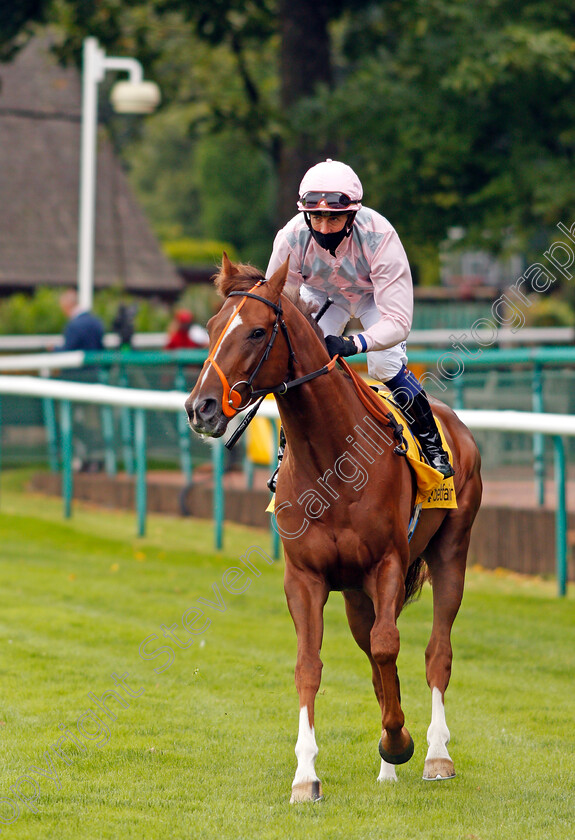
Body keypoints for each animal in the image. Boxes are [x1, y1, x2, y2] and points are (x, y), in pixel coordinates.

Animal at [187, 254, 484, 800]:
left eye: (257, 331)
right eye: (214, 328)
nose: (201, 408)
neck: (332, 460)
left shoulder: (388, 562)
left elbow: (391, 645)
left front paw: (399, 743)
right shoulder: (306, 576)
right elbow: (312, 664)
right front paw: (306, 776)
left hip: (451, 549)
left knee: (436, 651)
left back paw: (434, 753)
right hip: (354, 593)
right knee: (375, 659)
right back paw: (389, 765)